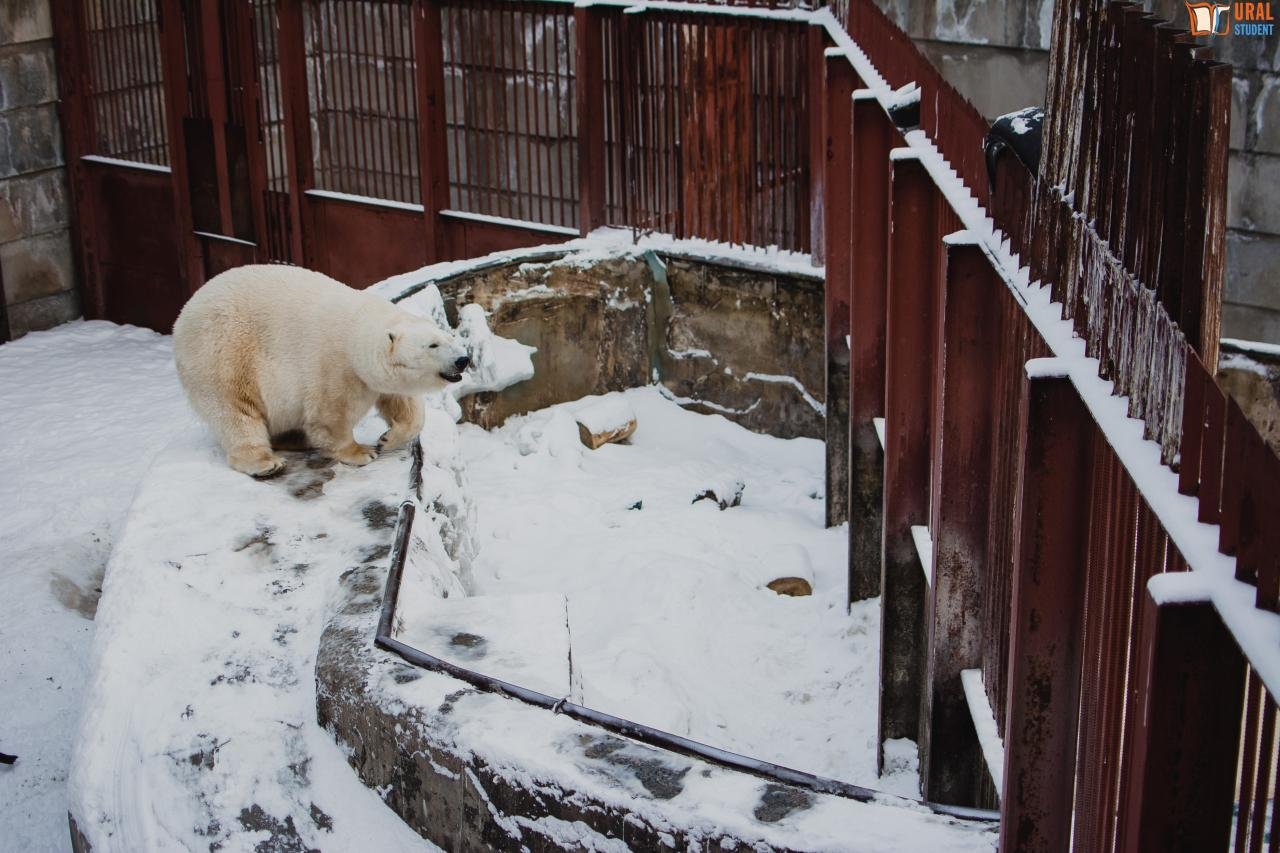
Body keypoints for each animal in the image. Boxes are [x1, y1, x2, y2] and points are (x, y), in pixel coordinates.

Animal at [172, 263, 468, 473]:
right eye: (432, 345)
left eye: (448, 338)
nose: (462, 359)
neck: (355, 330)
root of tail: (182, 316)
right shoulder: (333, 366)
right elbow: (330, 414)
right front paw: (361, 451)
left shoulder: (376, 376)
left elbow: (401, 402)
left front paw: (388, 438)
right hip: (223, 353)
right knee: (235, 409)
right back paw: (265, 462)